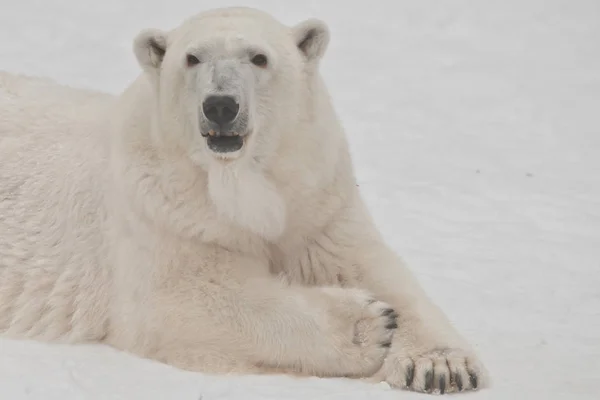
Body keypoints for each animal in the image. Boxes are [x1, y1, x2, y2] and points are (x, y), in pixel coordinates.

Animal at [0, 7, 488, 396]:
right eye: (192, 57)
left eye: (259, 57)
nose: (220, 105)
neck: (238, 181)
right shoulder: (165, 211)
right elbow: (184, 298)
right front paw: (370, 325)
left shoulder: (317, 201)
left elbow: (368, 265)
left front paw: (442, 366)